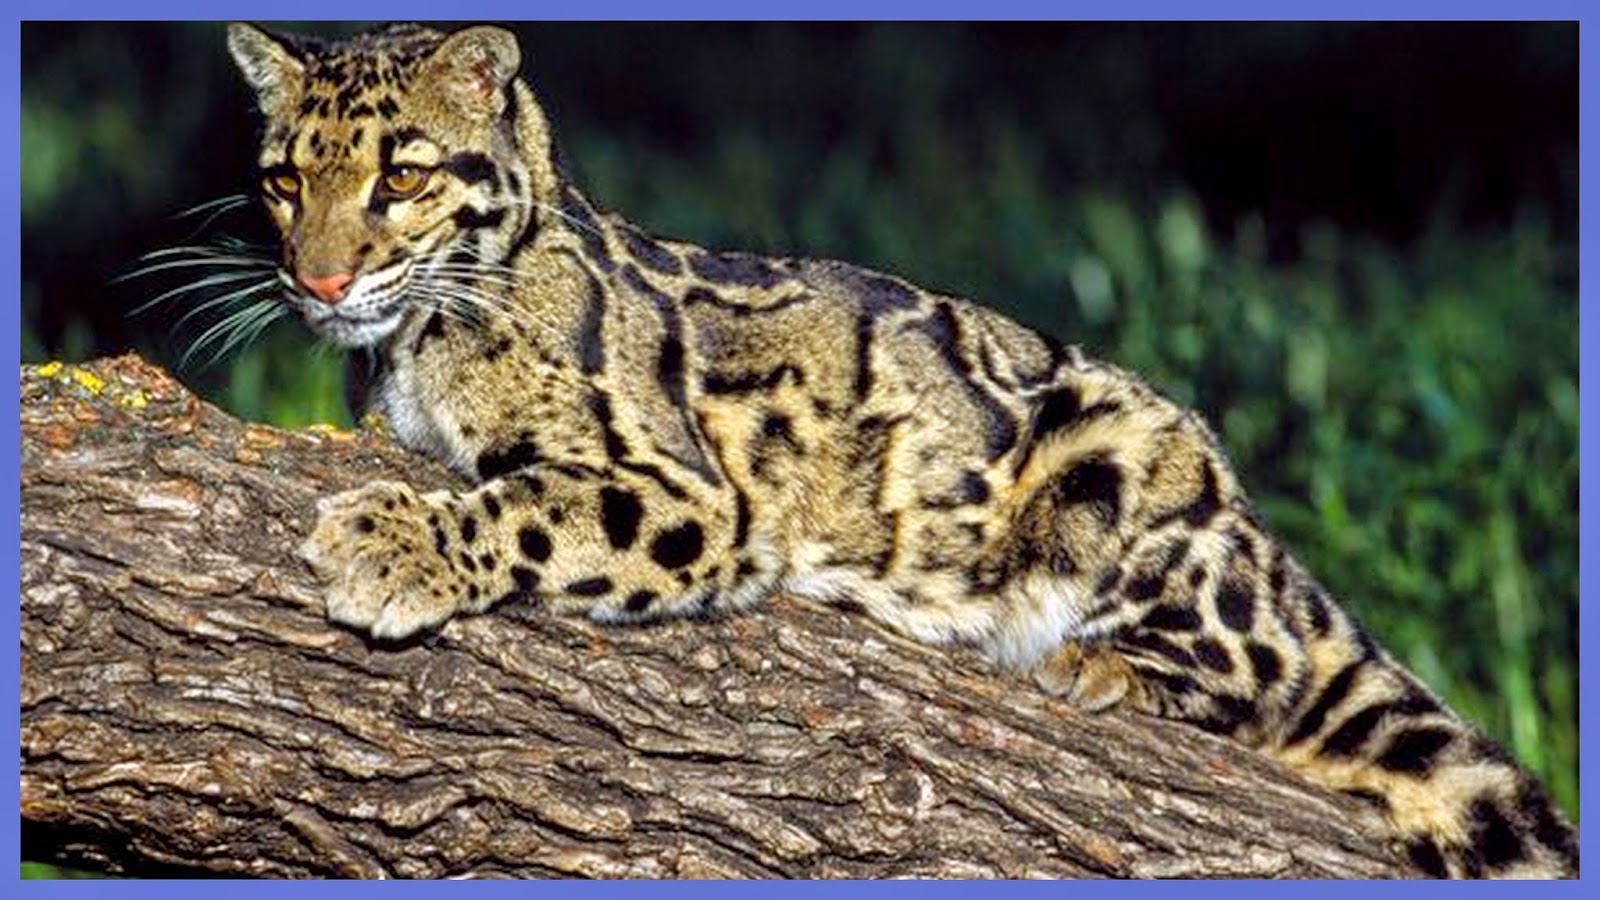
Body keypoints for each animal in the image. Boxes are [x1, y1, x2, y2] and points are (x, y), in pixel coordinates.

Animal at [224, 21, 1578, 878]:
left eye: (402, 174)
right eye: (284, 179)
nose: (317, 279)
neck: (414, 342)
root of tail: (1251, 525)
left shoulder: (685, 491)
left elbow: (529, 506)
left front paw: (388, 542)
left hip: (1129, 464)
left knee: (1267, 662)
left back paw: (1106, 667)